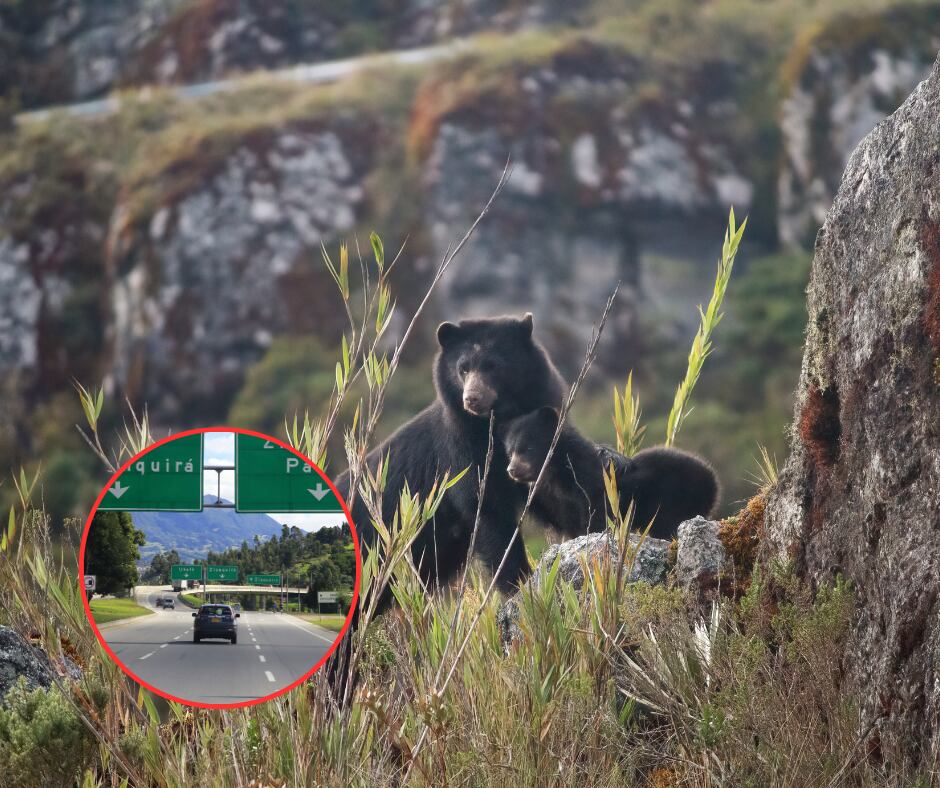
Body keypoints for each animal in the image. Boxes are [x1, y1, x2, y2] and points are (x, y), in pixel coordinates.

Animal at [334, 314, 566, 597]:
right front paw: (518, 584)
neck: (490, 425)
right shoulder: (460, 451)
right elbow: (486, 509)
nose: (472, 399)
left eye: (493, 366)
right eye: (462, 369)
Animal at [498, 405, 719, 540]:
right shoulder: (554, 501)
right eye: (510, 452)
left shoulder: (592, 484)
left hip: (673, 498)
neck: (557, 473)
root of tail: (713, 480)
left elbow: (598, 514)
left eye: (528, 448)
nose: (511, 470)